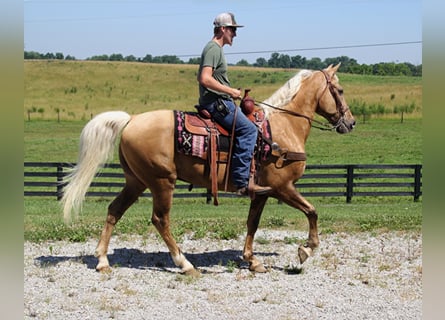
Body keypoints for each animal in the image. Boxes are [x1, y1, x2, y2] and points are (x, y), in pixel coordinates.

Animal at [61, 63, 354, 274]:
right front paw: (307, 249)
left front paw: (252, 260)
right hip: (162, 181)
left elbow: (253, 223)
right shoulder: (282, 187)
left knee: (114, 211)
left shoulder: (262, 191)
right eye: (339, 91)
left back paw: (102, 261)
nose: (351, 123)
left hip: (136, 181)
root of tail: (131, 119)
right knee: (160, 219)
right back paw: (185, 264)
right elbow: (312, 211)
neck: (282, 128)